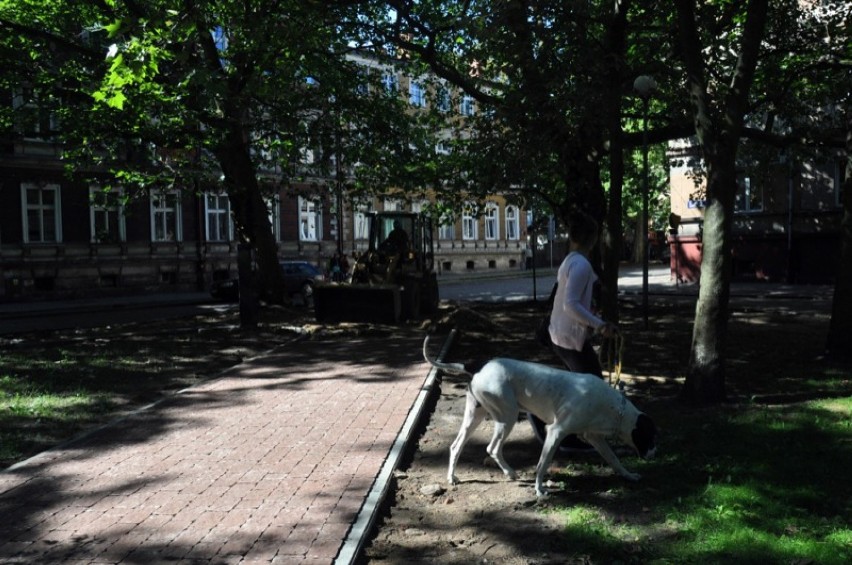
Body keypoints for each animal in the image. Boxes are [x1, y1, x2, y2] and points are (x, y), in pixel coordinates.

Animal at [422, 338, 656, 496]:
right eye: (650, 437)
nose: (654, 454)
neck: (614, 408)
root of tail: (478, 366)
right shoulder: (556, 431)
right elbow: (543, 464)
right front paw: (539, 490)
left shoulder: (594, 438)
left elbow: (613, 459)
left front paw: (628, 475)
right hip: (507, 417)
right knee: (492, 448)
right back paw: (510, 473)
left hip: (475, 417)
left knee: (455, 446)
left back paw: (452, 477)